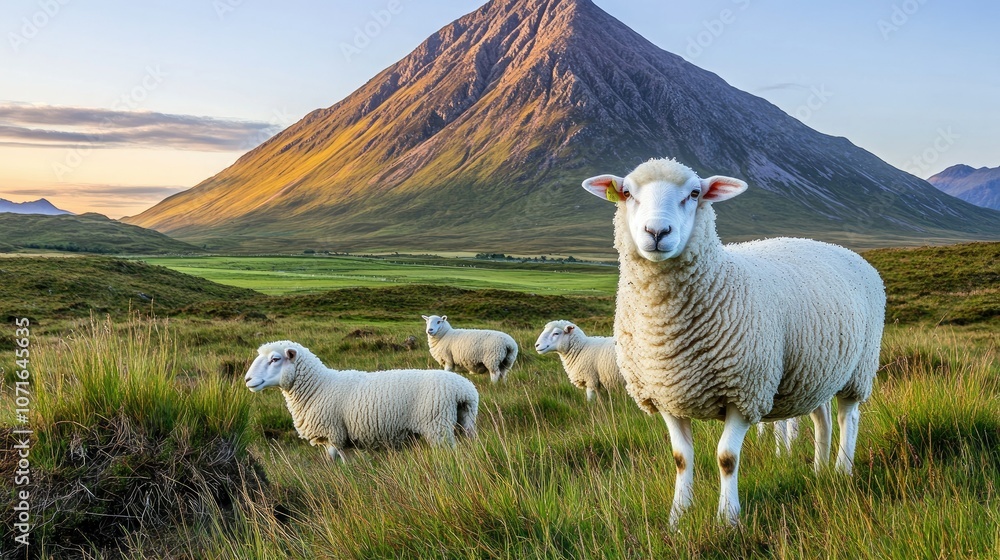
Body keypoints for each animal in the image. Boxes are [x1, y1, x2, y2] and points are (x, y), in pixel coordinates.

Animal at [244, 341, 478, 462]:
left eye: (275, 359)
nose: (247, 380)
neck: (318, 386)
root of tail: (464, 390)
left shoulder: (336, 434)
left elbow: (342, 462)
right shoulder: (337, 438)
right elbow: (336, 461)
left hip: (437, 427)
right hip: (465, 422)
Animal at [582, 158, 885, 526]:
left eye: (694, 194)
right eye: (626, 193)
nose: (657, 232)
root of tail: (845, 251)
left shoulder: (744, 392)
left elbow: (726, 458)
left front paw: (727, 519)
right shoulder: (665, 393)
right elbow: (680, 458)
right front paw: (678, 518)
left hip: (859, 368)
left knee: (847, 418)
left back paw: (842, 471)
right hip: (815, 372)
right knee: (822, 420)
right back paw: (819, 471)